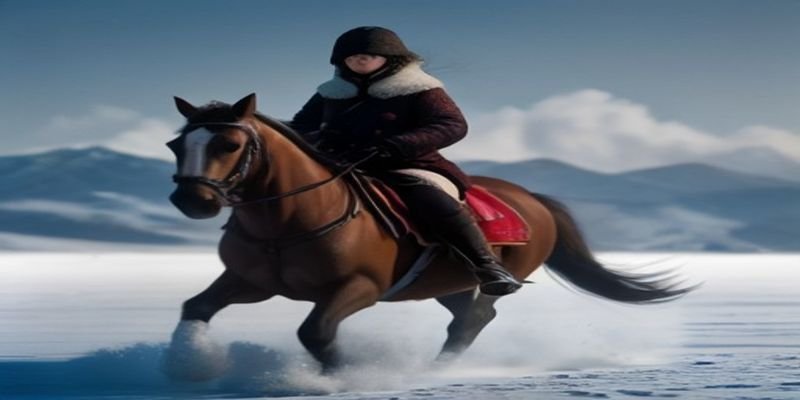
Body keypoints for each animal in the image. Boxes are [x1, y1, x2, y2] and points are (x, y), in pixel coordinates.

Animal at [162, 93, 694, 379]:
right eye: (175, 144)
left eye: (230, 143)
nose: (193, 199)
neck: (290, 219)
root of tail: (534, 200)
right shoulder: (250, 282)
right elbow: (195, 308)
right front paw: (190, 368)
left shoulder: (359, 287)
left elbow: (315, 332)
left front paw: (340, 380)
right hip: (447, 282)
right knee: (473, 315)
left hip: (490, 274)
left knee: (474, 318)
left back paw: (435, 371)